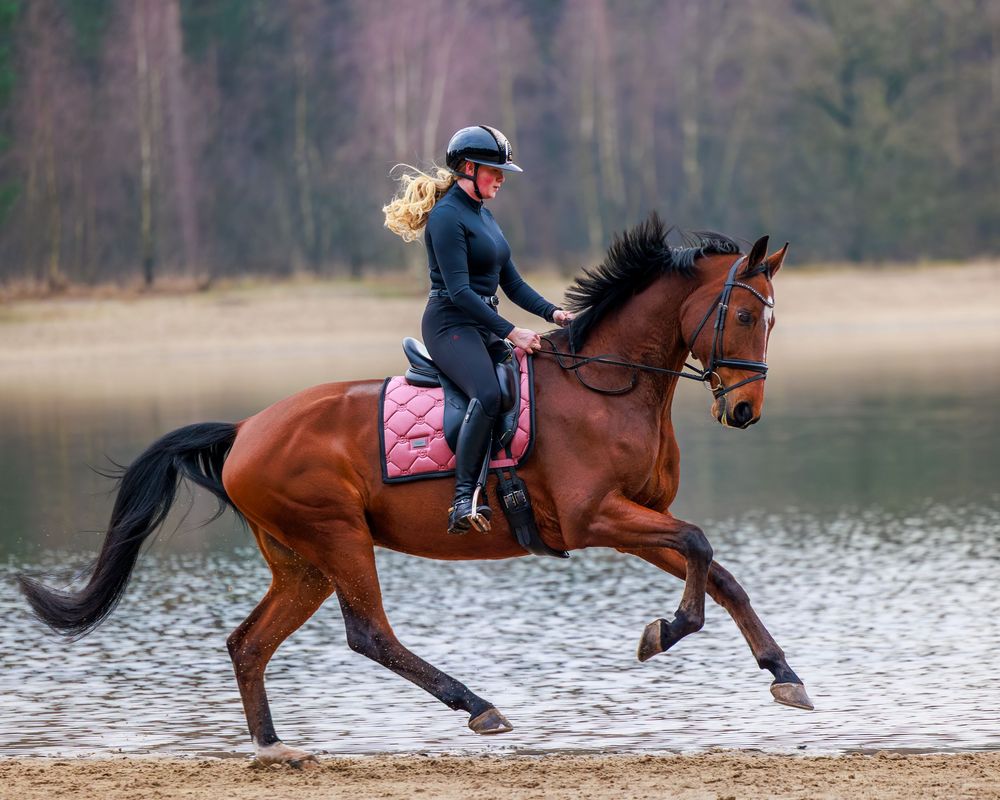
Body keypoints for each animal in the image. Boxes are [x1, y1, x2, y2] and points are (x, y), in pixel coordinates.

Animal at [19, 214, 813, 767]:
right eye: (746, 314)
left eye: (774, 318)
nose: (745, 409)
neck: (607, 384)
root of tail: (245, 429)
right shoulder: (599, 518)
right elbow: (700, 549)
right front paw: (664, 633)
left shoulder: (639, 516)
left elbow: (719, 573)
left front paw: (782, 673)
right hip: (337, 536)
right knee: (369, 633)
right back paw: (476, 705)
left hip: (301, 561)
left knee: (249, 643)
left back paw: (274, 747)